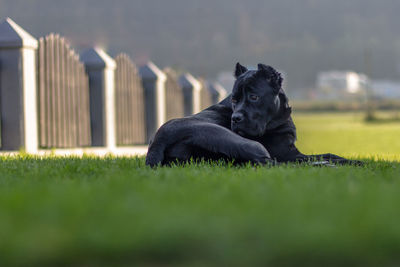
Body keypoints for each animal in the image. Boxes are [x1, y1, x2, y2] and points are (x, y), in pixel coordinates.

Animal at [145, 63, 358, 168]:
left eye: (254, 97)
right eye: (234, 99)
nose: (235, 118)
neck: (277, 117)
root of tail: (159, 140)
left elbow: (330, 153)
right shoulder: (288, 153)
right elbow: (320, 156)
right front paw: (353, 162)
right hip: (247, 144)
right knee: (273, 164)